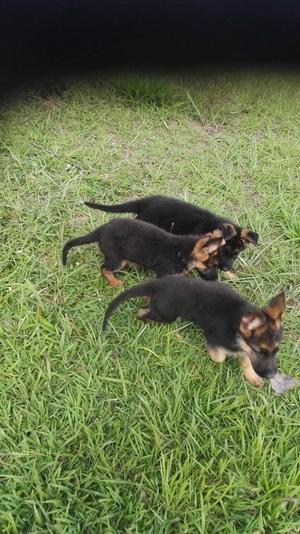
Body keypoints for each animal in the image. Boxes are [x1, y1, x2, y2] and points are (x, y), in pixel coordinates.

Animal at [62, 219, 229, 288]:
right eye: (211, 266)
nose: (215, 280)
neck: (183, 251)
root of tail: (101, 230)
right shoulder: (163, 273)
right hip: (116, 258)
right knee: (103, 268)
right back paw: (114, 282)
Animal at [103, 274, 286, 388]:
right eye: (260, 351)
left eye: (276, 351)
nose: (272, 375)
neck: (236, 325)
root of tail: (158, 284)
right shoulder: (214, 338)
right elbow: (219, 357)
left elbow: (246, 359)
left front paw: (251, 375)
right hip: (167, 315)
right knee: (142, 313)